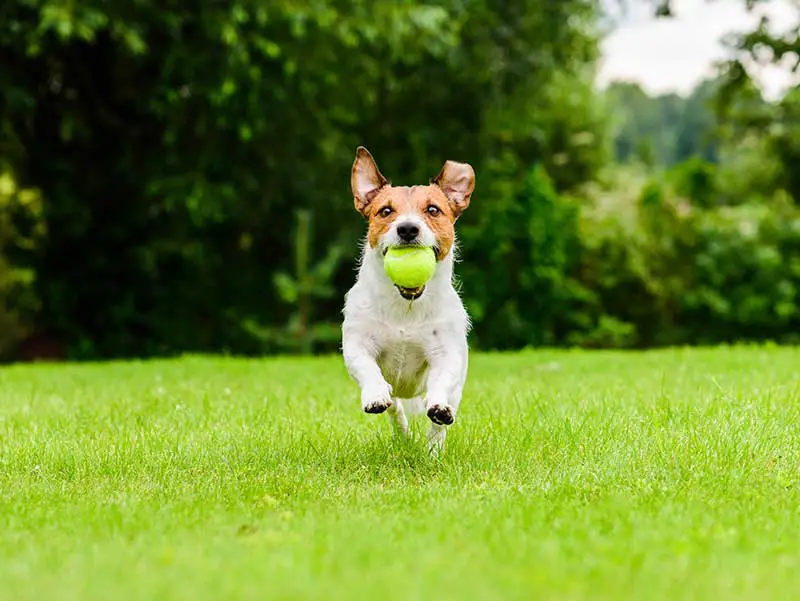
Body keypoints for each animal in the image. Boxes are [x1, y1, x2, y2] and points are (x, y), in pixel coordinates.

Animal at [340, 148, 476, 452]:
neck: (406, 306)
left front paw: (439, 409)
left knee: (438, 424)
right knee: (395, 409)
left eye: (433, 210)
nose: (408, 229)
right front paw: (375, 395)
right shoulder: (357, 343)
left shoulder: (446, 353)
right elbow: (367, 368)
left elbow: (442, 382)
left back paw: (433, 449)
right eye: (386, 211)